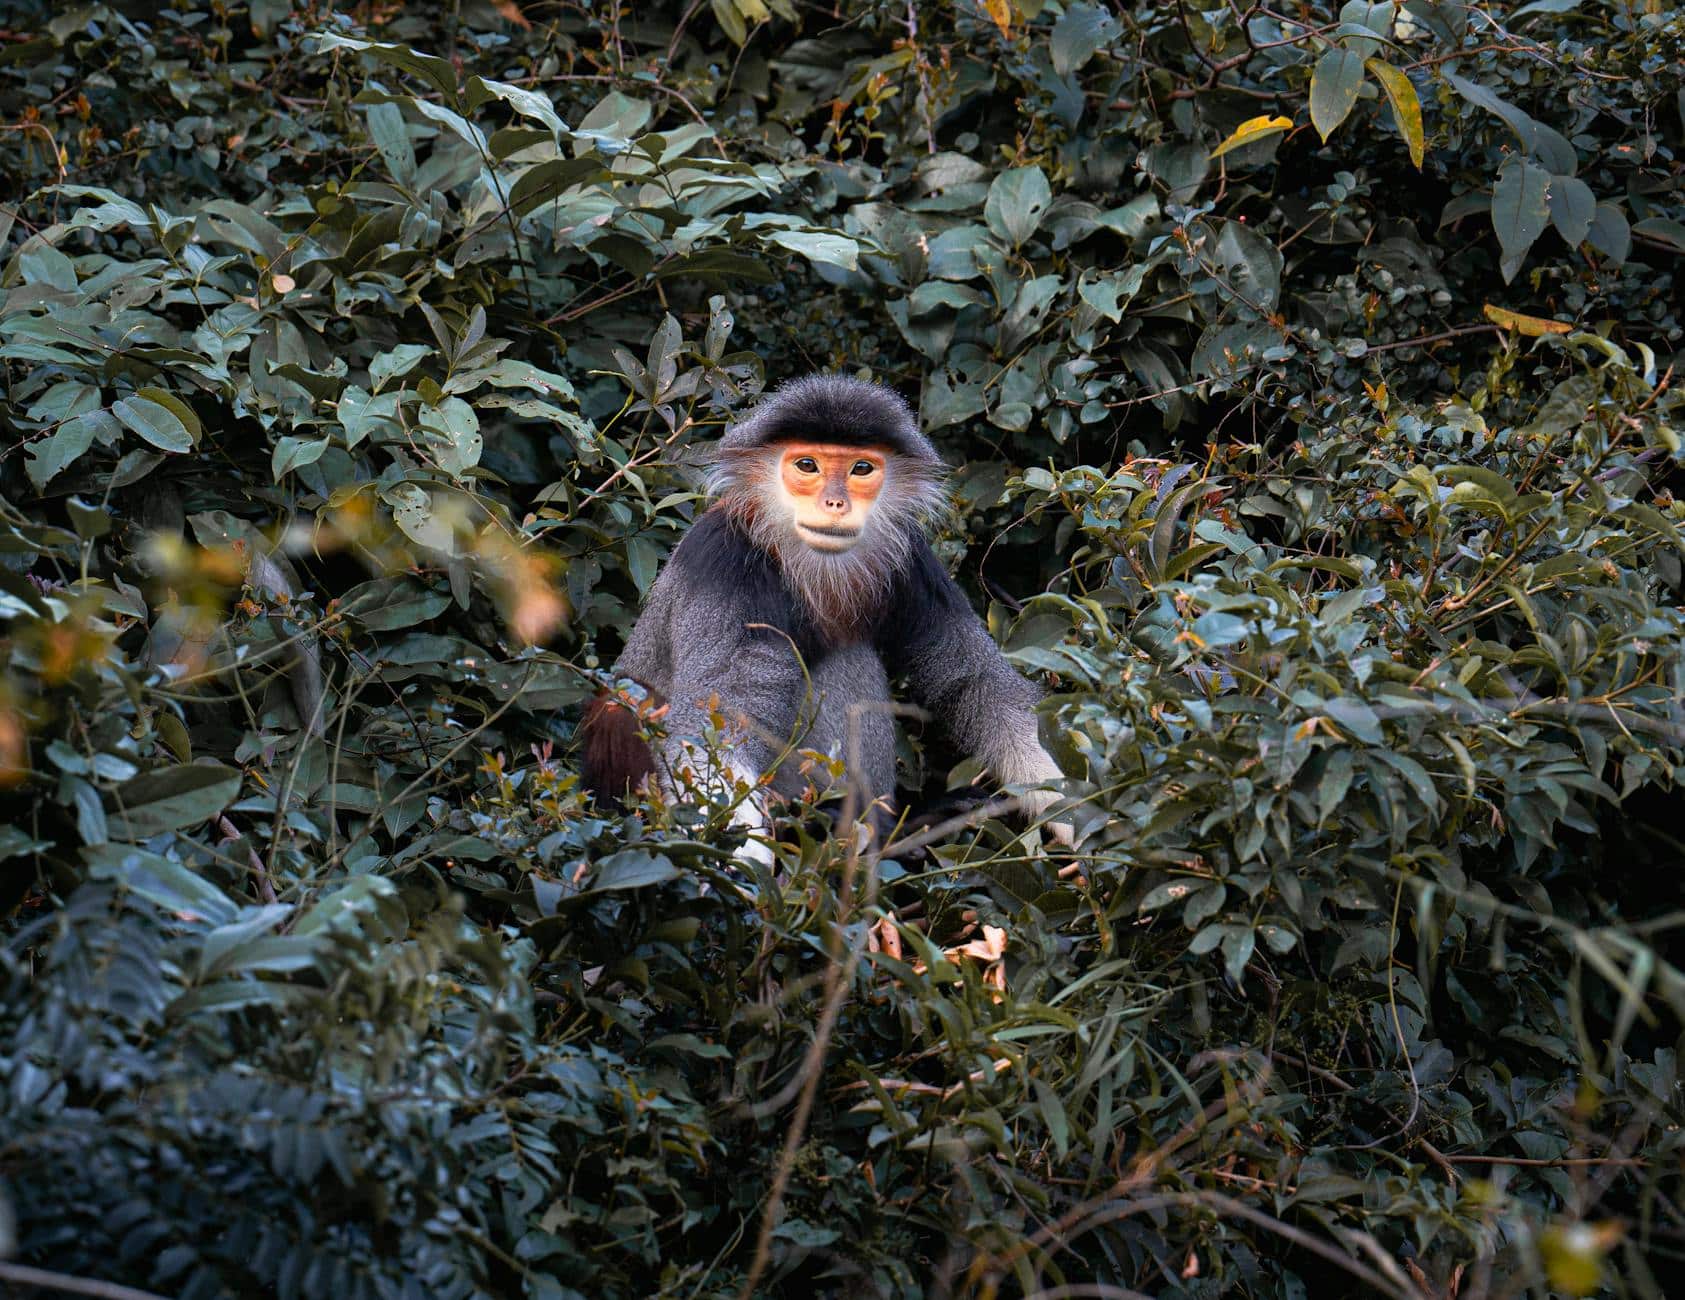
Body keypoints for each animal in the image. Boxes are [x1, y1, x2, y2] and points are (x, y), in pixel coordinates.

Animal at [581, 373, 1071, 863]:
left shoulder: (909, 558)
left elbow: (977, 685)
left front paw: (1075, 819)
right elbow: (713, 730)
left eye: (861, 469)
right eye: (808, 465)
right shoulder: (725, 560)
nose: (835, 503)